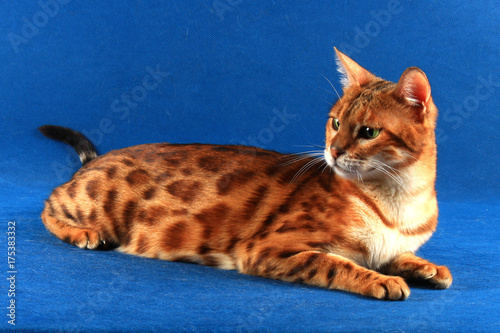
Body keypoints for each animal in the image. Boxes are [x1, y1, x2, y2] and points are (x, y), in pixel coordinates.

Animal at [40, 49, 454, 300]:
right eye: (335, 123)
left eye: (368, 132)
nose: (333, 151)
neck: (400, 201)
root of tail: (98, 158)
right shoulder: (267, 248)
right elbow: (336, 263)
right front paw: (382, 281)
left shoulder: (391, 244)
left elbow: (398, 254)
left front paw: (428, 268)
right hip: (99, 203)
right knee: (49, 205)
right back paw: (84, 234)